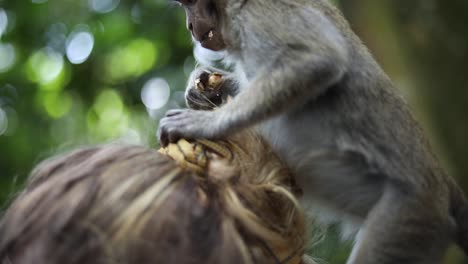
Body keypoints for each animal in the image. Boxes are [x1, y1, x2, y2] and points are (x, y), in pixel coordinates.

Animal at [159, 1, 468, 262]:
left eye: (190, 4)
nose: (189, 26)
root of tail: (444, 185)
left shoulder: (259, 13)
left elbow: (314, 61)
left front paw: (206, 123)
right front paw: (204, 87)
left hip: (409, 217)